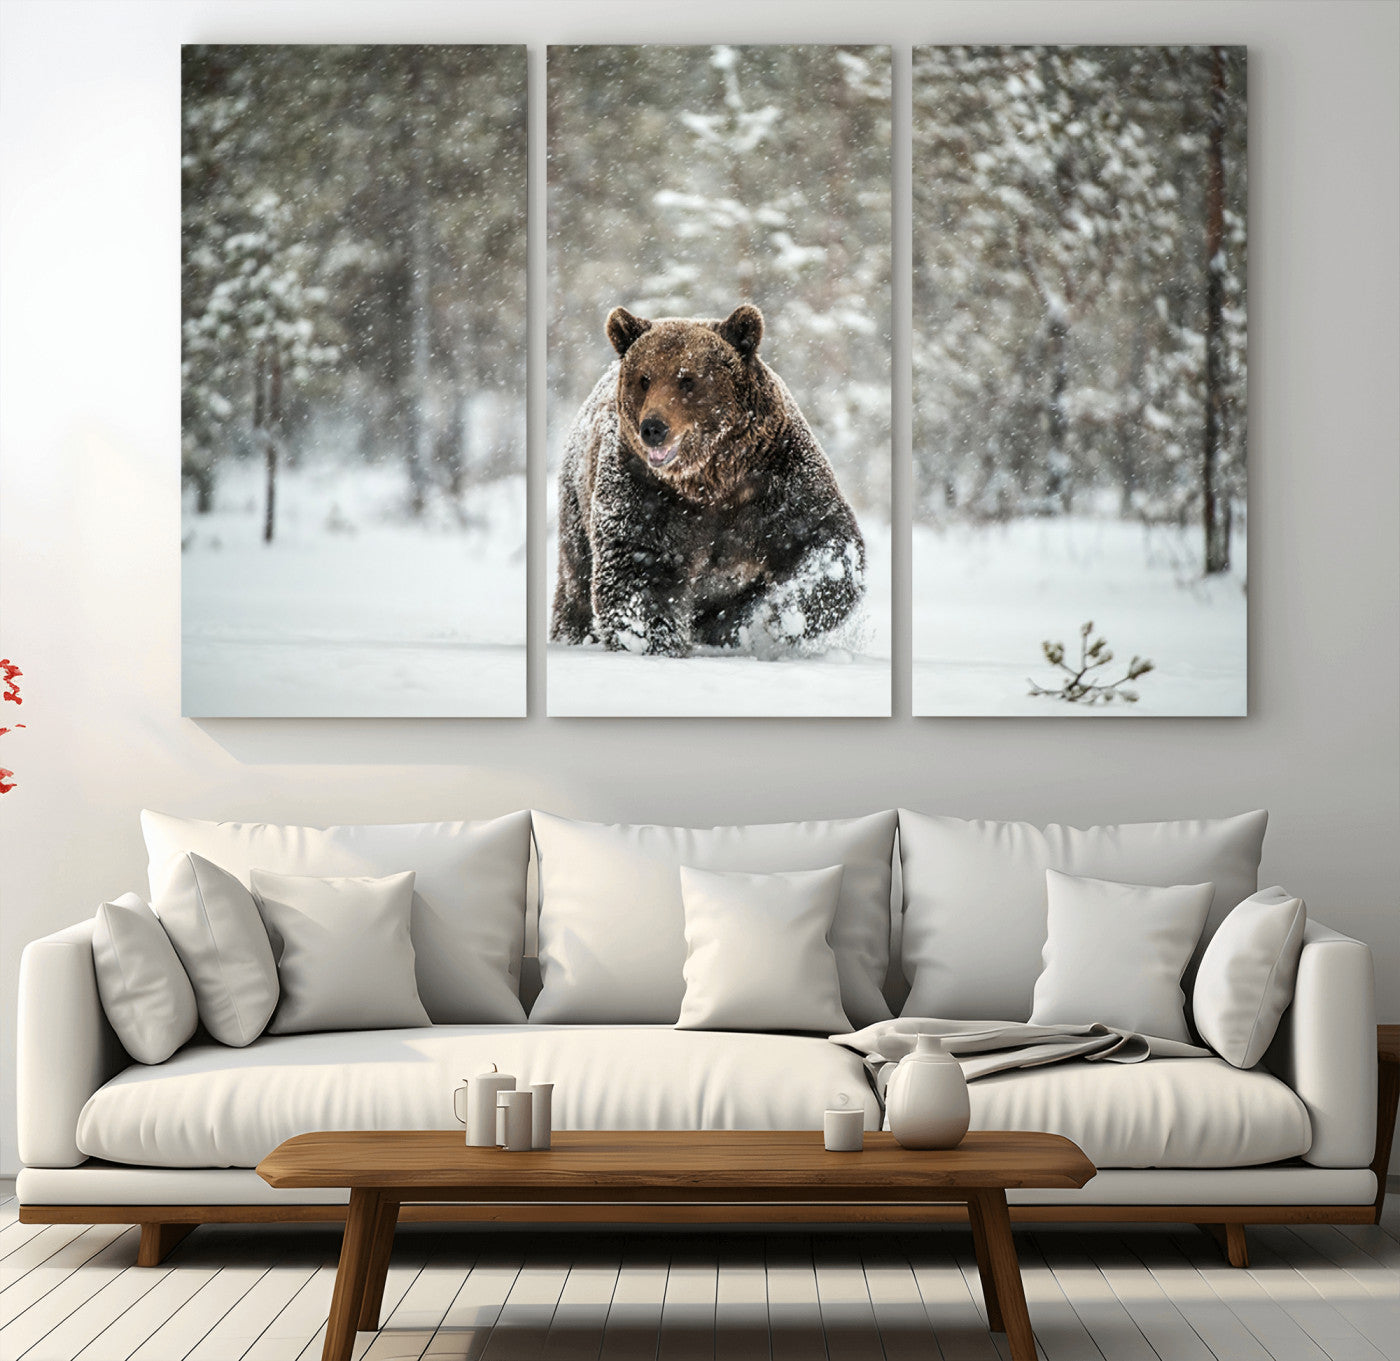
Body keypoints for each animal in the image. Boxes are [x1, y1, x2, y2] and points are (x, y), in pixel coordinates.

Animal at [551, 304, 867, 658]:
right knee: (576, 581)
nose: (653, 428)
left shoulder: (777, 478)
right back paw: (574, 633)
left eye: (687, 379)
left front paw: (781, 616)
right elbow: (638, 567)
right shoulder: (644, 490)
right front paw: (653, 642)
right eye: (644, 379)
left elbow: (823, 540)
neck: (710, 478)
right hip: (577, 503)